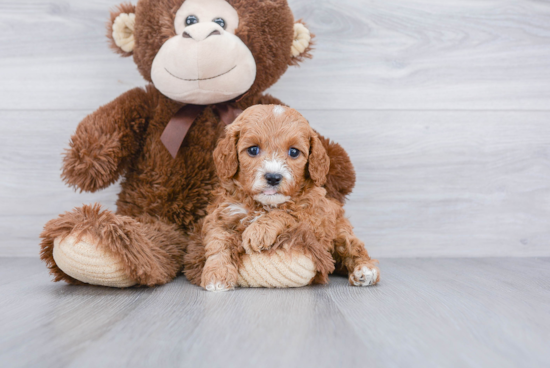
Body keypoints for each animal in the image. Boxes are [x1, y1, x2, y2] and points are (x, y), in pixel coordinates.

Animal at [191, 105, 380, 292]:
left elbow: (287, 213)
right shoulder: (223, 215)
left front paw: (259, 230)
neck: (264, 204)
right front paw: (217, 275)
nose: (273, 177)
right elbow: (218, 244)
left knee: (352, 247)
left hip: (339, 230)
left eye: (294, 152)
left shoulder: (315, 219)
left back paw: (365, 270)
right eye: (253, 149)